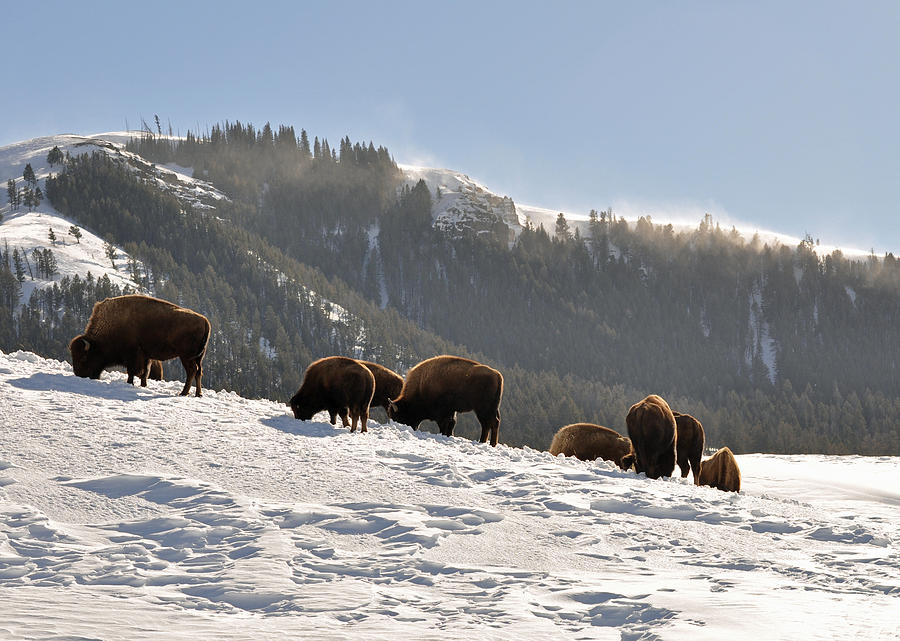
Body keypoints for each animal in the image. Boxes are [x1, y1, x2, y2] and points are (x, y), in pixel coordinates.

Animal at [69, 296, 211, 396]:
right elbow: (145, 373)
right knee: (199, 372)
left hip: (186, 357)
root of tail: (204, 321)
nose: (80, 375)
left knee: (192, 371)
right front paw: (143, 386)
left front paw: (130, 383)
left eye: (83, 358)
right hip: (198, 357)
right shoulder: (146, 356)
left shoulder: (133, 355)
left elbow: (133, 372)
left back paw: (183, 393)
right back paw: (198, 394)